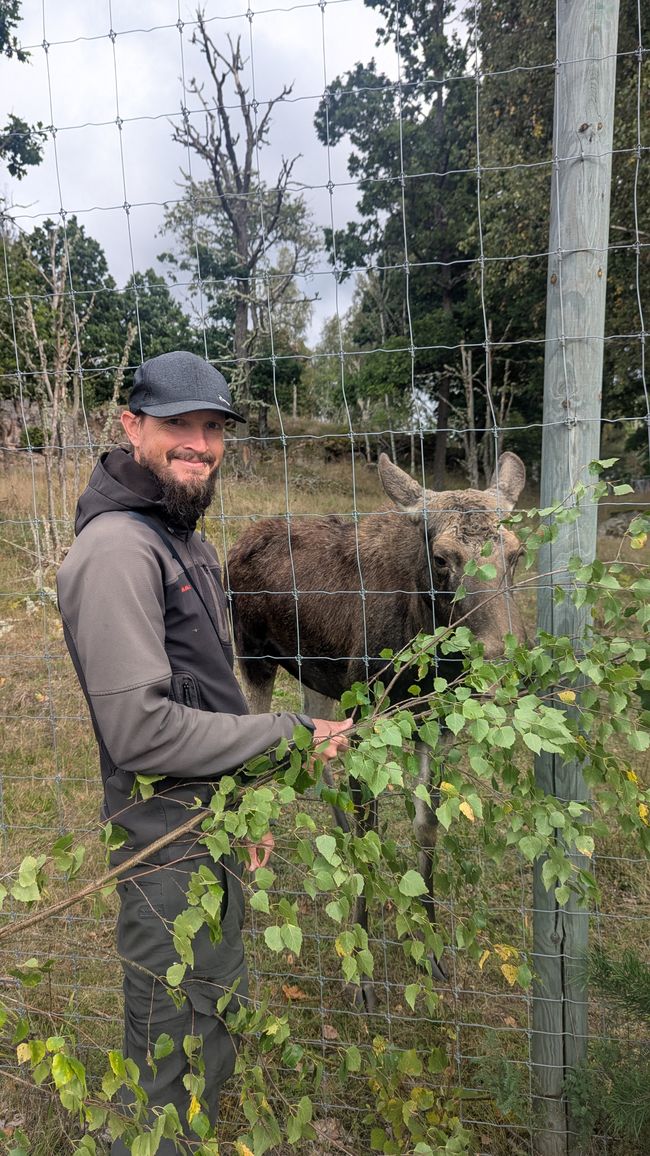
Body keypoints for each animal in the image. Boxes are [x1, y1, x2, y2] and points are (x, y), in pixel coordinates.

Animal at [226, 452, 527, 1009]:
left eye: (516, 554)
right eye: (442, 558)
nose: (498, 663)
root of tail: (238, 541)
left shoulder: (433, 718)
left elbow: (425, 826)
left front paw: (430, 946)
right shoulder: (367, 715)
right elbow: (372, 831)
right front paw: (361, 972)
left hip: (319, 679)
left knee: (322, 765)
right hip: (254, 659)